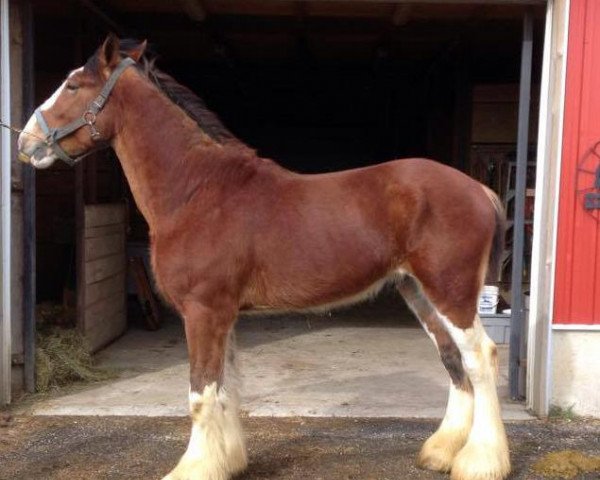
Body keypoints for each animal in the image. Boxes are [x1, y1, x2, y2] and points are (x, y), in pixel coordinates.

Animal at [16, 35, 508, 480]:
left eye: (73, 86)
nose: (26, 142)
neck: (197, 190)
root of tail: (478, 189)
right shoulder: (222, 313)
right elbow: (225, 389)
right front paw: (228, 461)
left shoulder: (202, 311)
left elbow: (200, 393)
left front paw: (193, 468)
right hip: (418, 292)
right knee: (453, 360)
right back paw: (441, 452)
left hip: (451, 293)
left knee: (480, 357)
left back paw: (480, 462)